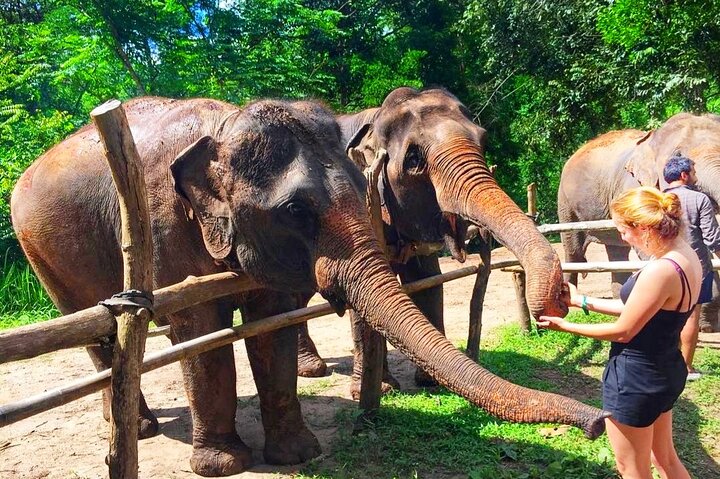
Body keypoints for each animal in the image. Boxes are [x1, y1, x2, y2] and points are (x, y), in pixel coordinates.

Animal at [296, 87, 569, 397]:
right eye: (414, 160)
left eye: (483, 140)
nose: (561, 298)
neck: (374, 117)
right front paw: (382, 390)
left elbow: (427, 280)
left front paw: (429, 380)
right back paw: (312, 369)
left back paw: (311, 366)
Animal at [558, 112, 720, 332]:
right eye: (678, 154)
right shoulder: (633, 187)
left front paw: (707, 325)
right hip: (566, 203)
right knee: (573, 249)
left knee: (616, 251)